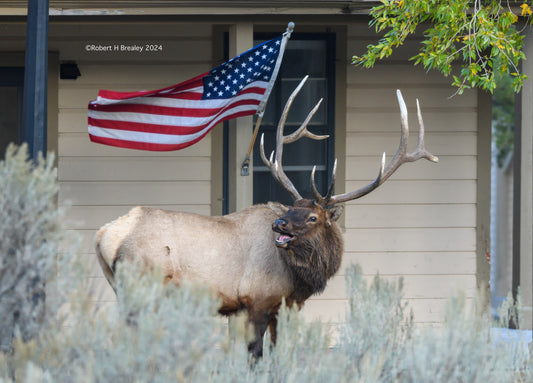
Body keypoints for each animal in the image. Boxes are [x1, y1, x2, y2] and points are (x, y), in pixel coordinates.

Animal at [94, 78, 436, 360]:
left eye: (312, 216)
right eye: (292, 209)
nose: (278, 225)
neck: (298, 279)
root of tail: (105, 236)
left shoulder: (277, 307)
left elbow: (275, 354)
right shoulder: (257, 299)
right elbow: (256, 356)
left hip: (119, 287)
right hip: (140, 285)